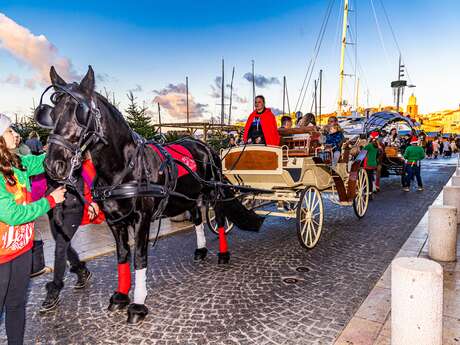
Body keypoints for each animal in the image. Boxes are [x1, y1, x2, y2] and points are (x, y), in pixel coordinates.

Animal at [40, 66, 262, 324]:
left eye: (81, 113)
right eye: (53, 113)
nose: (53, 164)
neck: (123, 168)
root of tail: (205, 145)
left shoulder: (142, 219)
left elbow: (139, 256)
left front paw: (137, 305)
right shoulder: (115, 221)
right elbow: (123, 255)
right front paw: (120, 296)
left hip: (213, 192)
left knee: (221, 217)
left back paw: (223, 254)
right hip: (190, 196)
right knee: (197, 218)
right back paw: (201, 250)